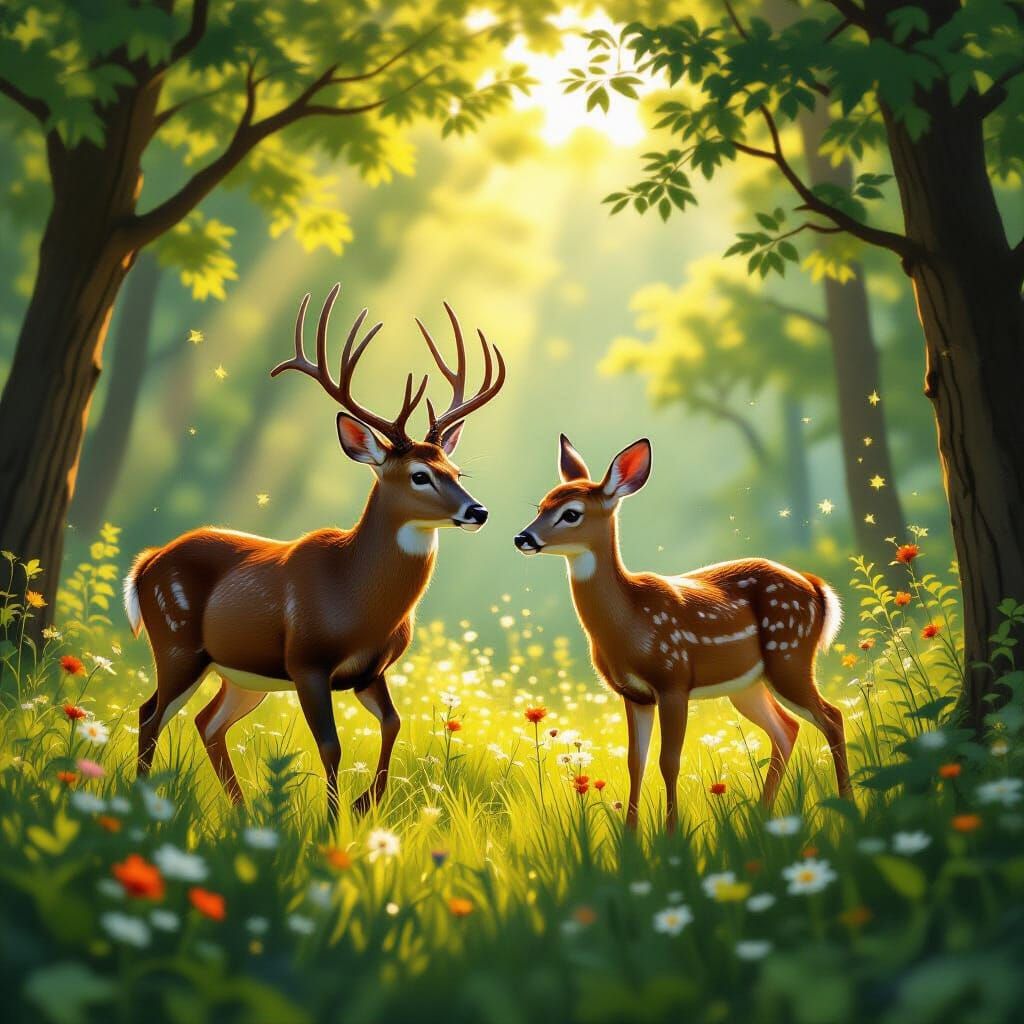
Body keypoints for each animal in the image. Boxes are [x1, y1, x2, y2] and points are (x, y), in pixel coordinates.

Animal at [123, 283, 504, 824]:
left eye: (455, 471)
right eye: (419, 475)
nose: (478, 511)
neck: (356, 598)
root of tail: (146, 563)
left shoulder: (371, 671)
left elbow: (393, 724)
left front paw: (365, 804)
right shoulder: (307, 660)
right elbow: (330, 745)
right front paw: (332, 819)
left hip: (244, 675)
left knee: (206, 721)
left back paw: (243, 812)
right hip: (177, 643)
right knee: (151, 712)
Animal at [514, 435, 850, 833]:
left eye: (571, 513)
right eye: (542, 505)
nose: (523, 537)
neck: (628, 621)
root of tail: (816, 587)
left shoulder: (673, 680)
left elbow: (669, 761)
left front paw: (672, 835)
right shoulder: (633, 694)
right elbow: (635, 762)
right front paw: (630, 837)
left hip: (790, 656)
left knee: (832, 717)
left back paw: (848, 806)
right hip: (747, 685)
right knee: (786, 729)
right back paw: (761, 817)